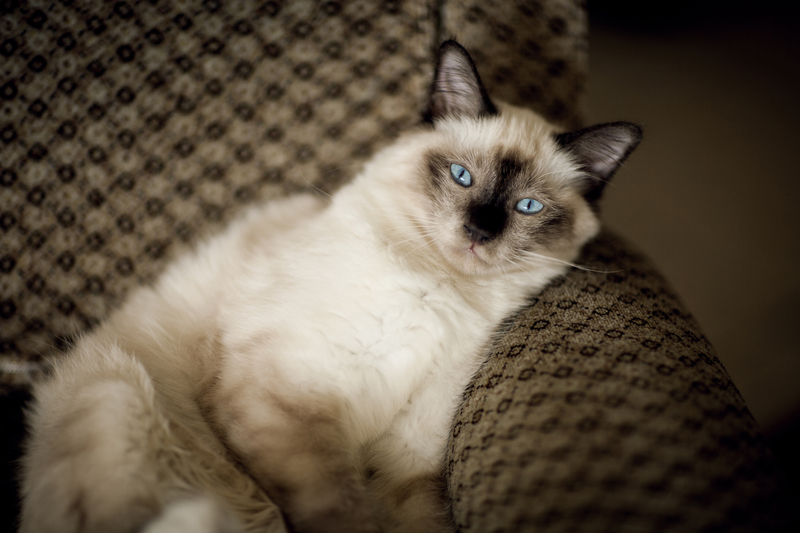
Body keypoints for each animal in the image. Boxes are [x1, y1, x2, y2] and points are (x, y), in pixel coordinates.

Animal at [18, 39, 644, 528]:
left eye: (526, 207)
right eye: (461, 176)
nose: (478, 232)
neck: (438, 288)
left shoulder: (405, 463)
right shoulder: (289, 403)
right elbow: (343, 510)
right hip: (119, 392)